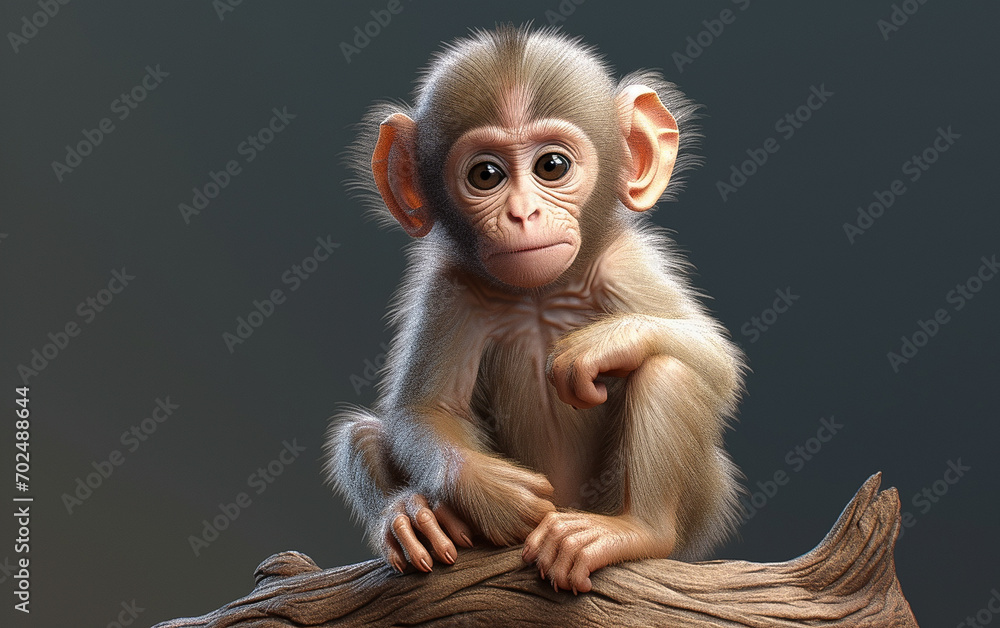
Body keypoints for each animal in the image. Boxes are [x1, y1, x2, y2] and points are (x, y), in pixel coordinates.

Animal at [325, 24, 745, 595]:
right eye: (486, 175)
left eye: (552, 166)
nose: (524, 214)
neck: (539, 296)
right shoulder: (449, 289)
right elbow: (424, 411)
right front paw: (489, 490)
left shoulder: (623, 263)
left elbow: (715, 358)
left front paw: (603, 346)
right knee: (363, 432)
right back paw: (412, 516)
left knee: (668, 371)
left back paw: (635, 530)